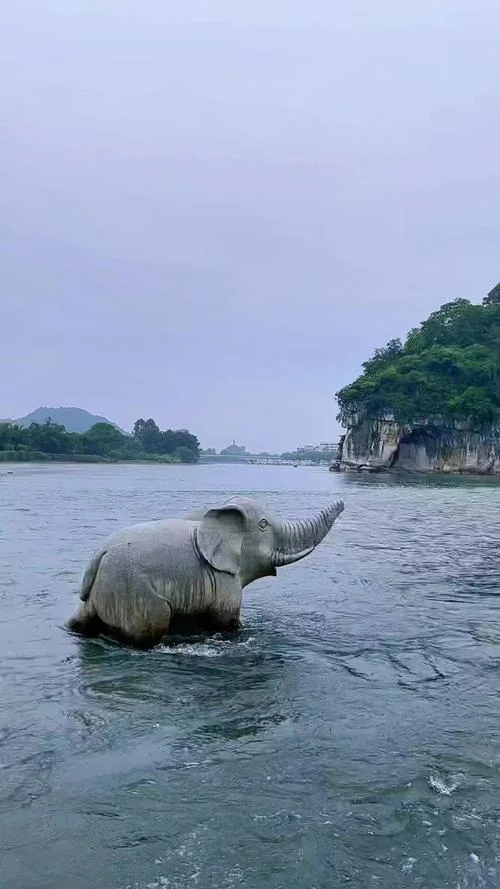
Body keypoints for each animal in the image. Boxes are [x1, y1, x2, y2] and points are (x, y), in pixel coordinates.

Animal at [66, 495, 344, 648]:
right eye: (264, 525)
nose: (343, 503)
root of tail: (99, 556)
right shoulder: (224, 581)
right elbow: (225, 621)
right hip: (132, 593)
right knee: (150, 626)